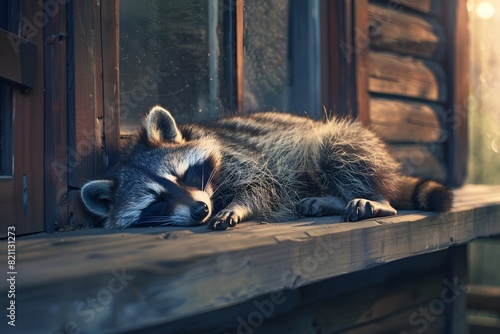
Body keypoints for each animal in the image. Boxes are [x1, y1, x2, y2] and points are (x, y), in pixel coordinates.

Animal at [80, 106, 452, 230]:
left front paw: (238, 205)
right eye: (156, 200)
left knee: (334, 150)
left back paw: (376, 198)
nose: (200, 209)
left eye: (183, 175)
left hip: (345, 139)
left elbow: (261, 185)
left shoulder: (239, 157)